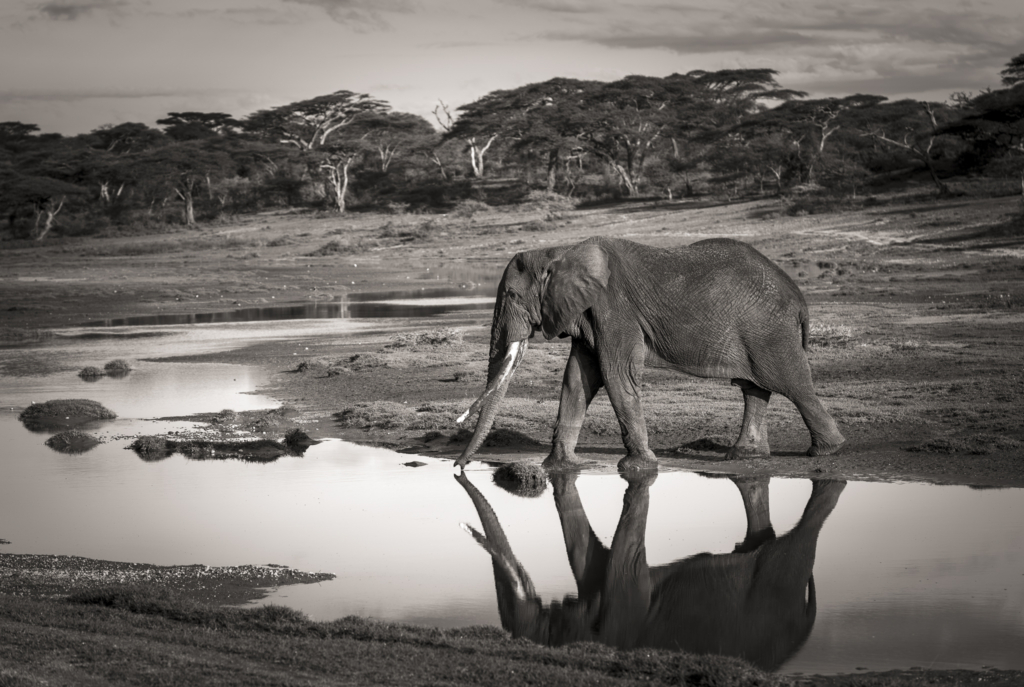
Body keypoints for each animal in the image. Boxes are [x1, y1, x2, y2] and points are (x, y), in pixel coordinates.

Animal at [456, 237, 839, 473]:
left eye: (511, 295)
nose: (459, 467)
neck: (561, 249)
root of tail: (799, 296)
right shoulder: (588, 313)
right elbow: (578, 380)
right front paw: (558, 466)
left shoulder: (614, 306)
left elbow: (616, 374)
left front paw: (638, 467)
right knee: (754, 387)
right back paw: (744, 454)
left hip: (769, 330)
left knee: (792, 384)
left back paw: (826, 450)